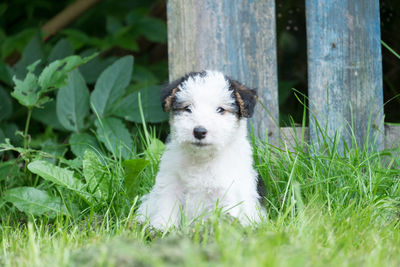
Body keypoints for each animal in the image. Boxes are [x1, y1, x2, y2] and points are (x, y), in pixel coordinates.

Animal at [138, 70, 266, 230]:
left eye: (220, 110)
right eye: (187, 108)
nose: (199, 131)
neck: (202, 159)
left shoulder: (227, 193)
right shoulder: (170, 186)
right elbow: (166, 210)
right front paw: (161, 229)